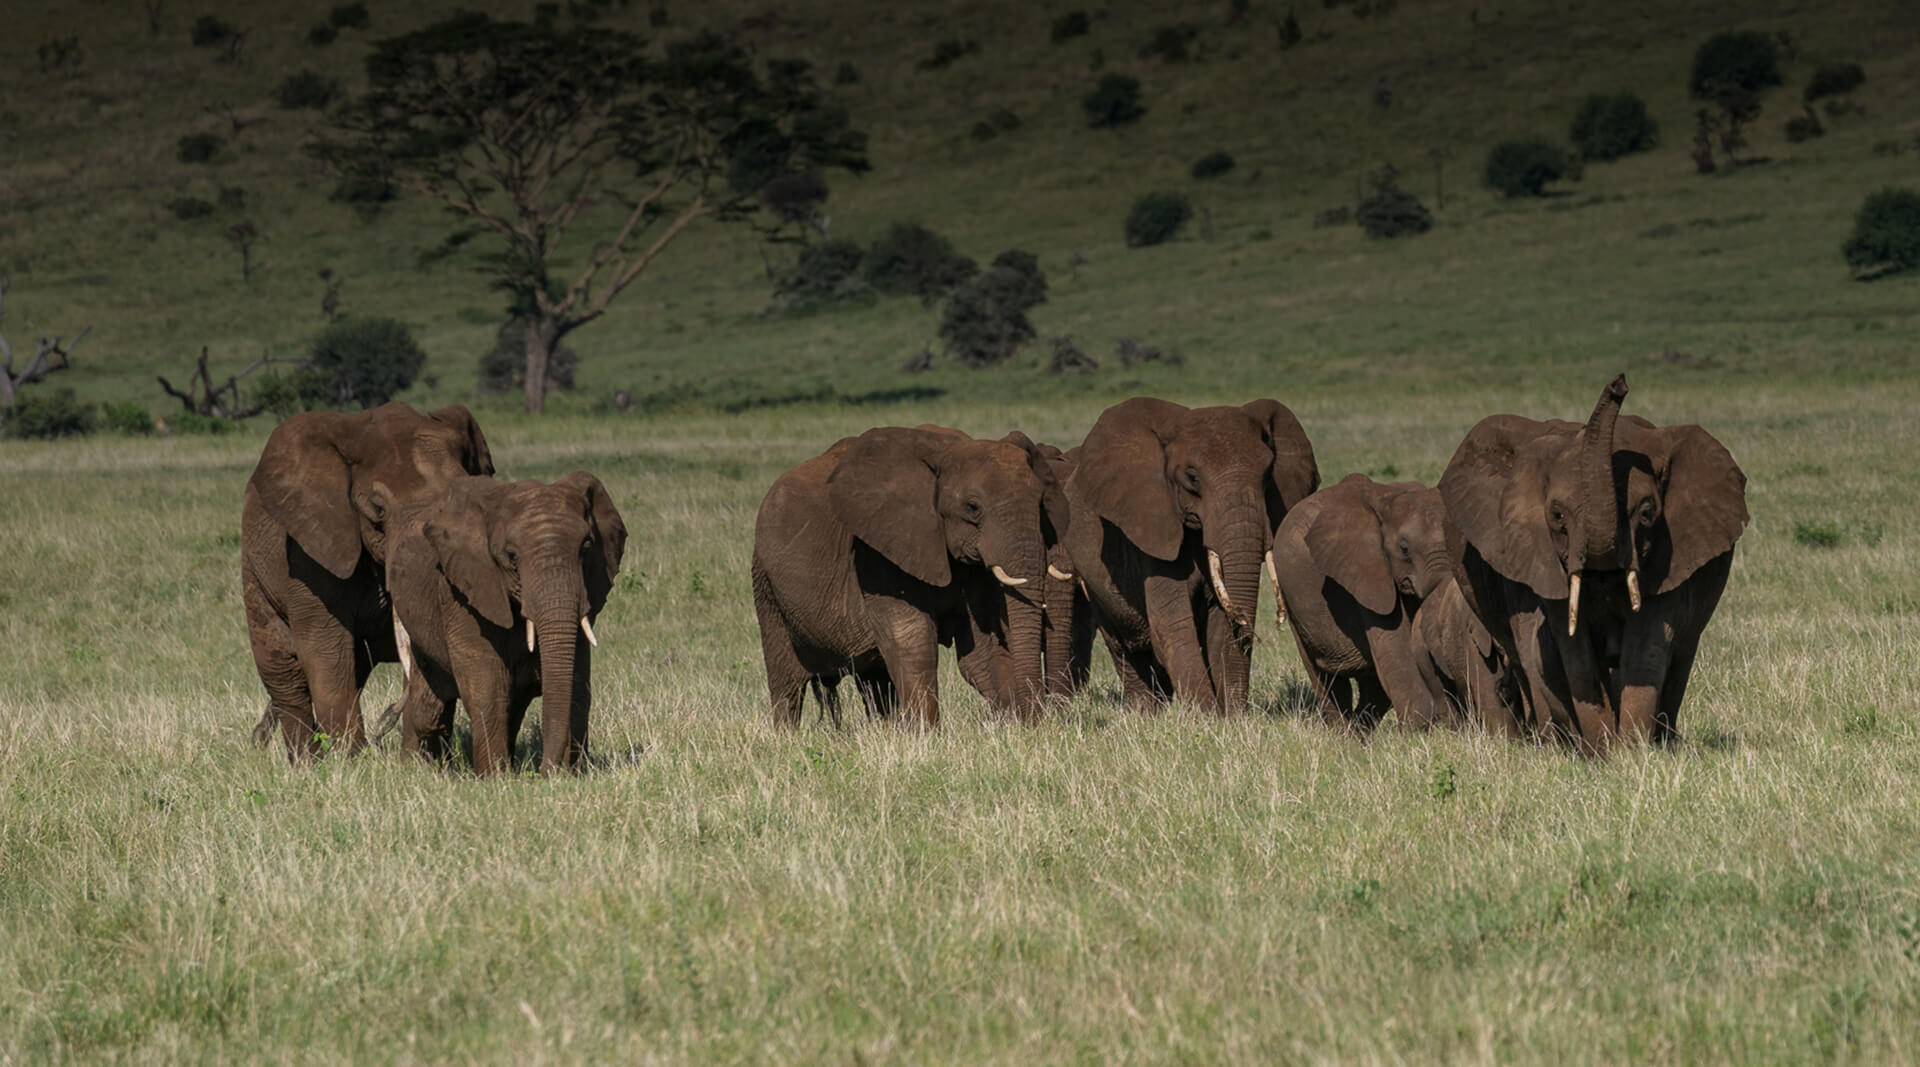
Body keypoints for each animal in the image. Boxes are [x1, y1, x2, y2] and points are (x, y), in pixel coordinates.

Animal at [238, 399, 495, 759]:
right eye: (378, 510)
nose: (383, 722)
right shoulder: (308, 550)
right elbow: (324, 646)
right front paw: (352, 762)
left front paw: (417, 762)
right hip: (254, 567)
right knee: (284, 670)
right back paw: (305, 762)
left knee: (354, 669)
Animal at [384, 470, 629, 771]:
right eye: (511, 556)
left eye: (586, 548)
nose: (547, 772)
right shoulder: (461, 588)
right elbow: (487, 681)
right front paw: (495, 777)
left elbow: (577, 682)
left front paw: (576, 773)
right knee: (428, 706)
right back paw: (414, 767)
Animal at [748, 422, 1075, 725]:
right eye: (972, 507)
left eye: (1041, 503)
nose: (1036, 721)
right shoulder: (877, 554)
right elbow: (911, 643)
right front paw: (926, 737)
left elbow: (982, 650)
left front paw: (1009, 726)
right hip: (765, 586)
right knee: (787, 684)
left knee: (874, 682)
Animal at [1067, 395, 1320, 713]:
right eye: (1192, 478)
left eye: (1266, 476)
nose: (1253, 625)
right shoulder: (1152, 533)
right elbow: (1172, 627)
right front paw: (1209, 716)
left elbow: (1217, 628)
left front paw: (1232, 717)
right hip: (1092, 581)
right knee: (1122, 646)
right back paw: (1147, 714)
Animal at [1443, 374, 1758, 748]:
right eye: (1557, 515)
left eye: (1647, 512)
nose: (1618, 384)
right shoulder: (1539, 557)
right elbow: (1573, 650)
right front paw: (1603, 750)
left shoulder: (1669, 555)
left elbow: (1648, 640)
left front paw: (1631, 752)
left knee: (1681, 651)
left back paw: (1664, 742)